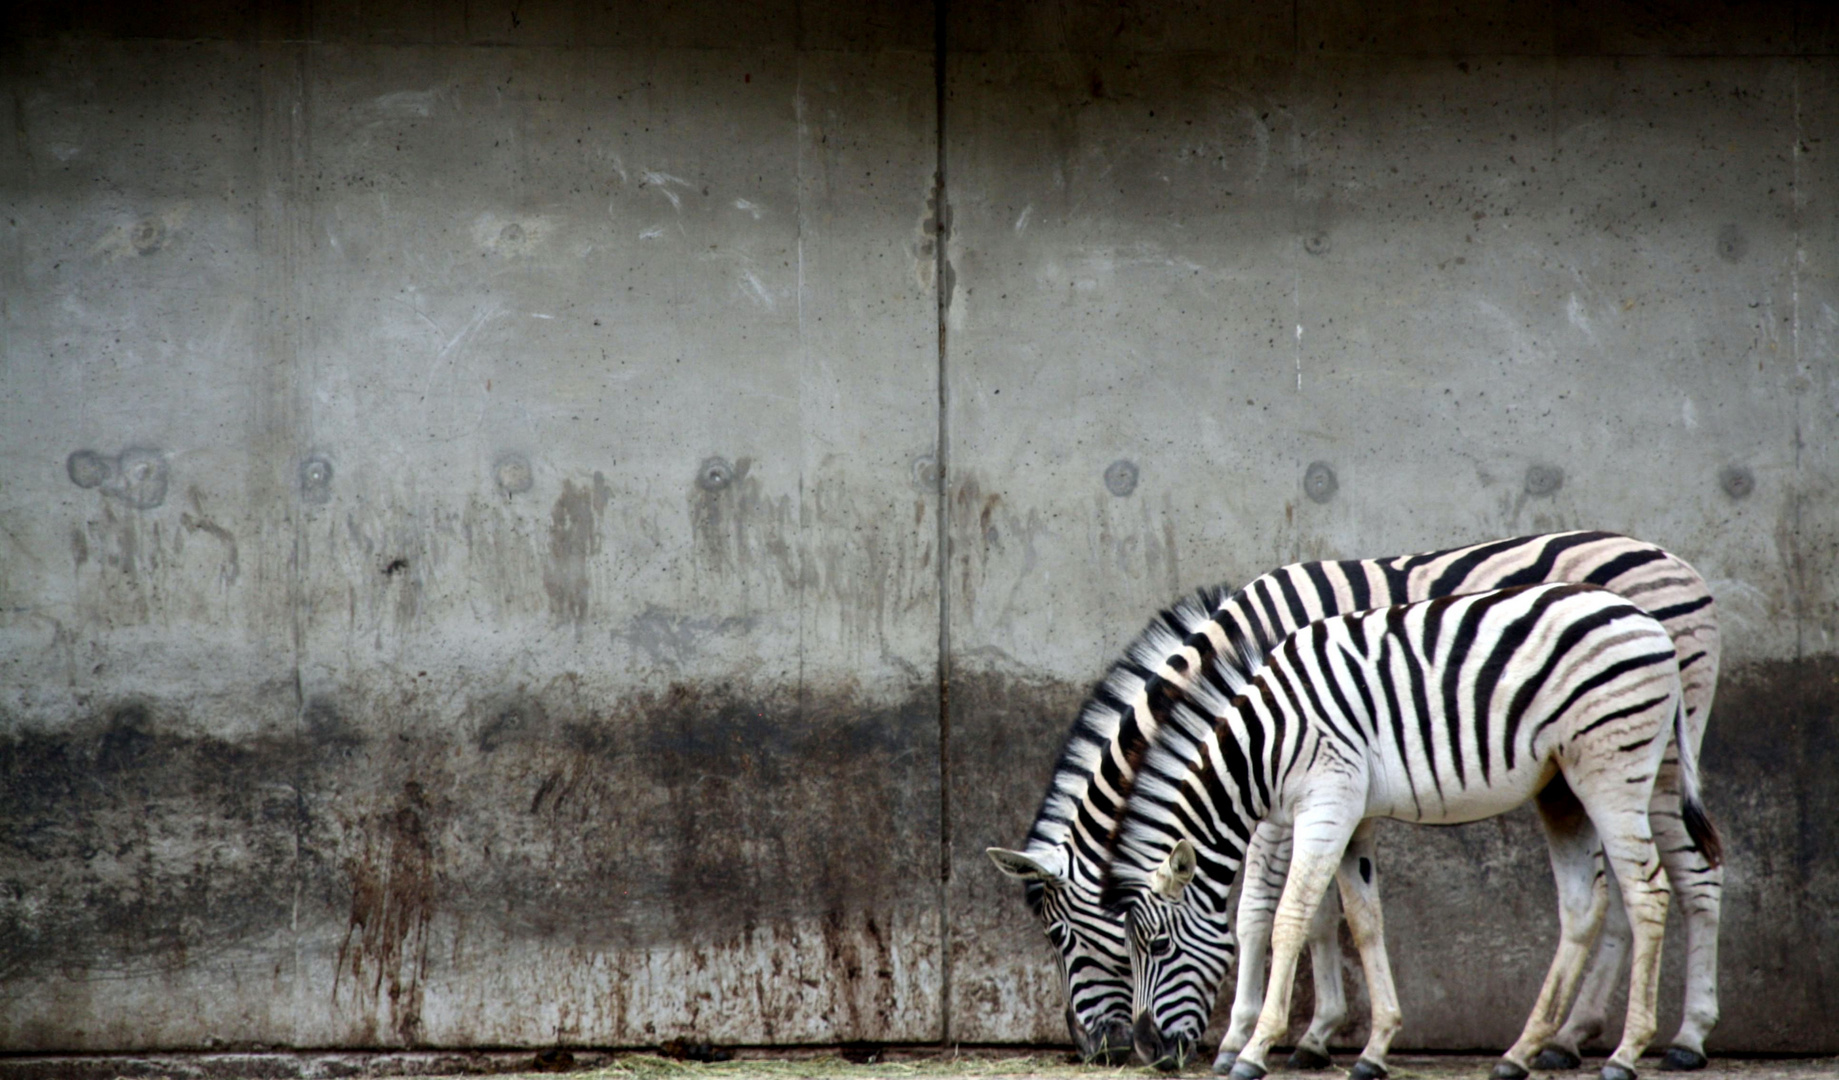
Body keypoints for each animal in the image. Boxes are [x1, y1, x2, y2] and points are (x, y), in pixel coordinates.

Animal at [993, 529, 1721, 1067]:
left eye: (1062, 937)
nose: (1103, 1051)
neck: (1235, 662)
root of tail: (1679, 563)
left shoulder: (1286, 789)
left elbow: (1263, 910)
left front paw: (1246, 1038)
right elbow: (1333, 913)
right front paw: (1318, 1037)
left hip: (1653, 752)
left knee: (1690, 876)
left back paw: (1682, 1038)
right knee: (1620, 894)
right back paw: (1567, 1038)